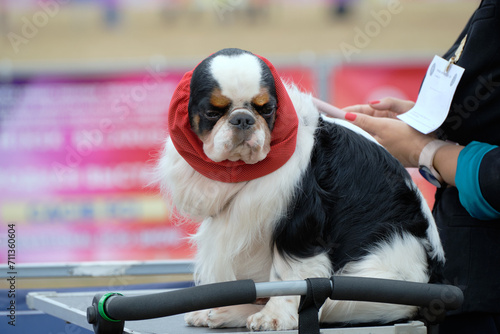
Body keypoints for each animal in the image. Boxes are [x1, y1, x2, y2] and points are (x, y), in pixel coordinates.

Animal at [157, 48, 446, 330]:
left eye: (267, 109)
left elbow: (290, 274)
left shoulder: (300, 220)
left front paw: (273, 317)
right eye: (212, 113)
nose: (242, 119)